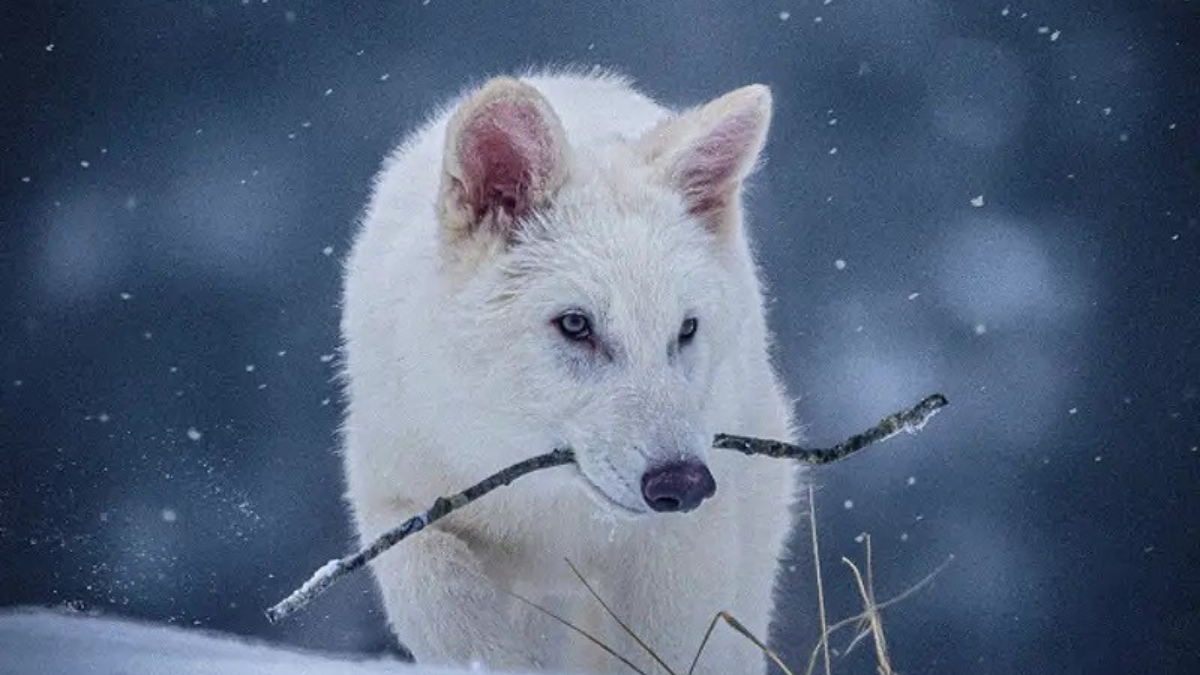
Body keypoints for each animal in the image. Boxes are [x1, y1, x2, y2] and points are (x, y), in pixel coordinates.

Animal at [340, 70, 799, 674]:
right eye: (576, 324)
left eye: (685, 329)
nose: (682, 484)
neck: (549, 505)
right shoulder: (398, 502)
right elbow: (450, 612)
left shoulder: (680, 548)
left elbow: (668, 651)